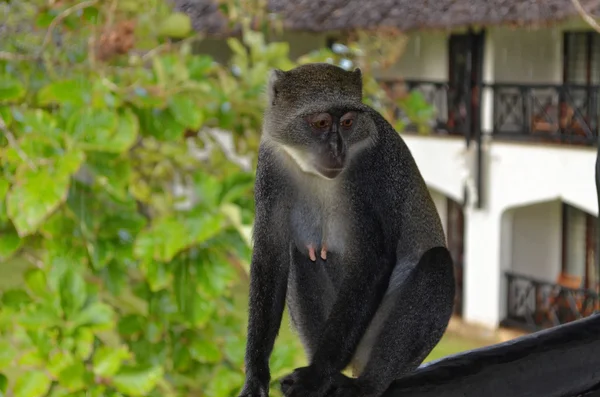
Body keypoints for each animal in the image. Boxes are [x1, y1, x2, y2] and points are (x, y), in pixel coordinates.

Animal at [239, 62, 454, 396]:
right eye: (321, 122)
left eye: (348, 121)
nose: (337, 150)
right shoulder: (271, 161)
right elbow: (271, 258)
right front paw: (256, 375)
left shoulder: (373, 168)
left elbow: (372, 260)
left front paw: (317, 374)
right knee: (302, 255)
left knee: (437, 263)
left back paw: (366, 382)